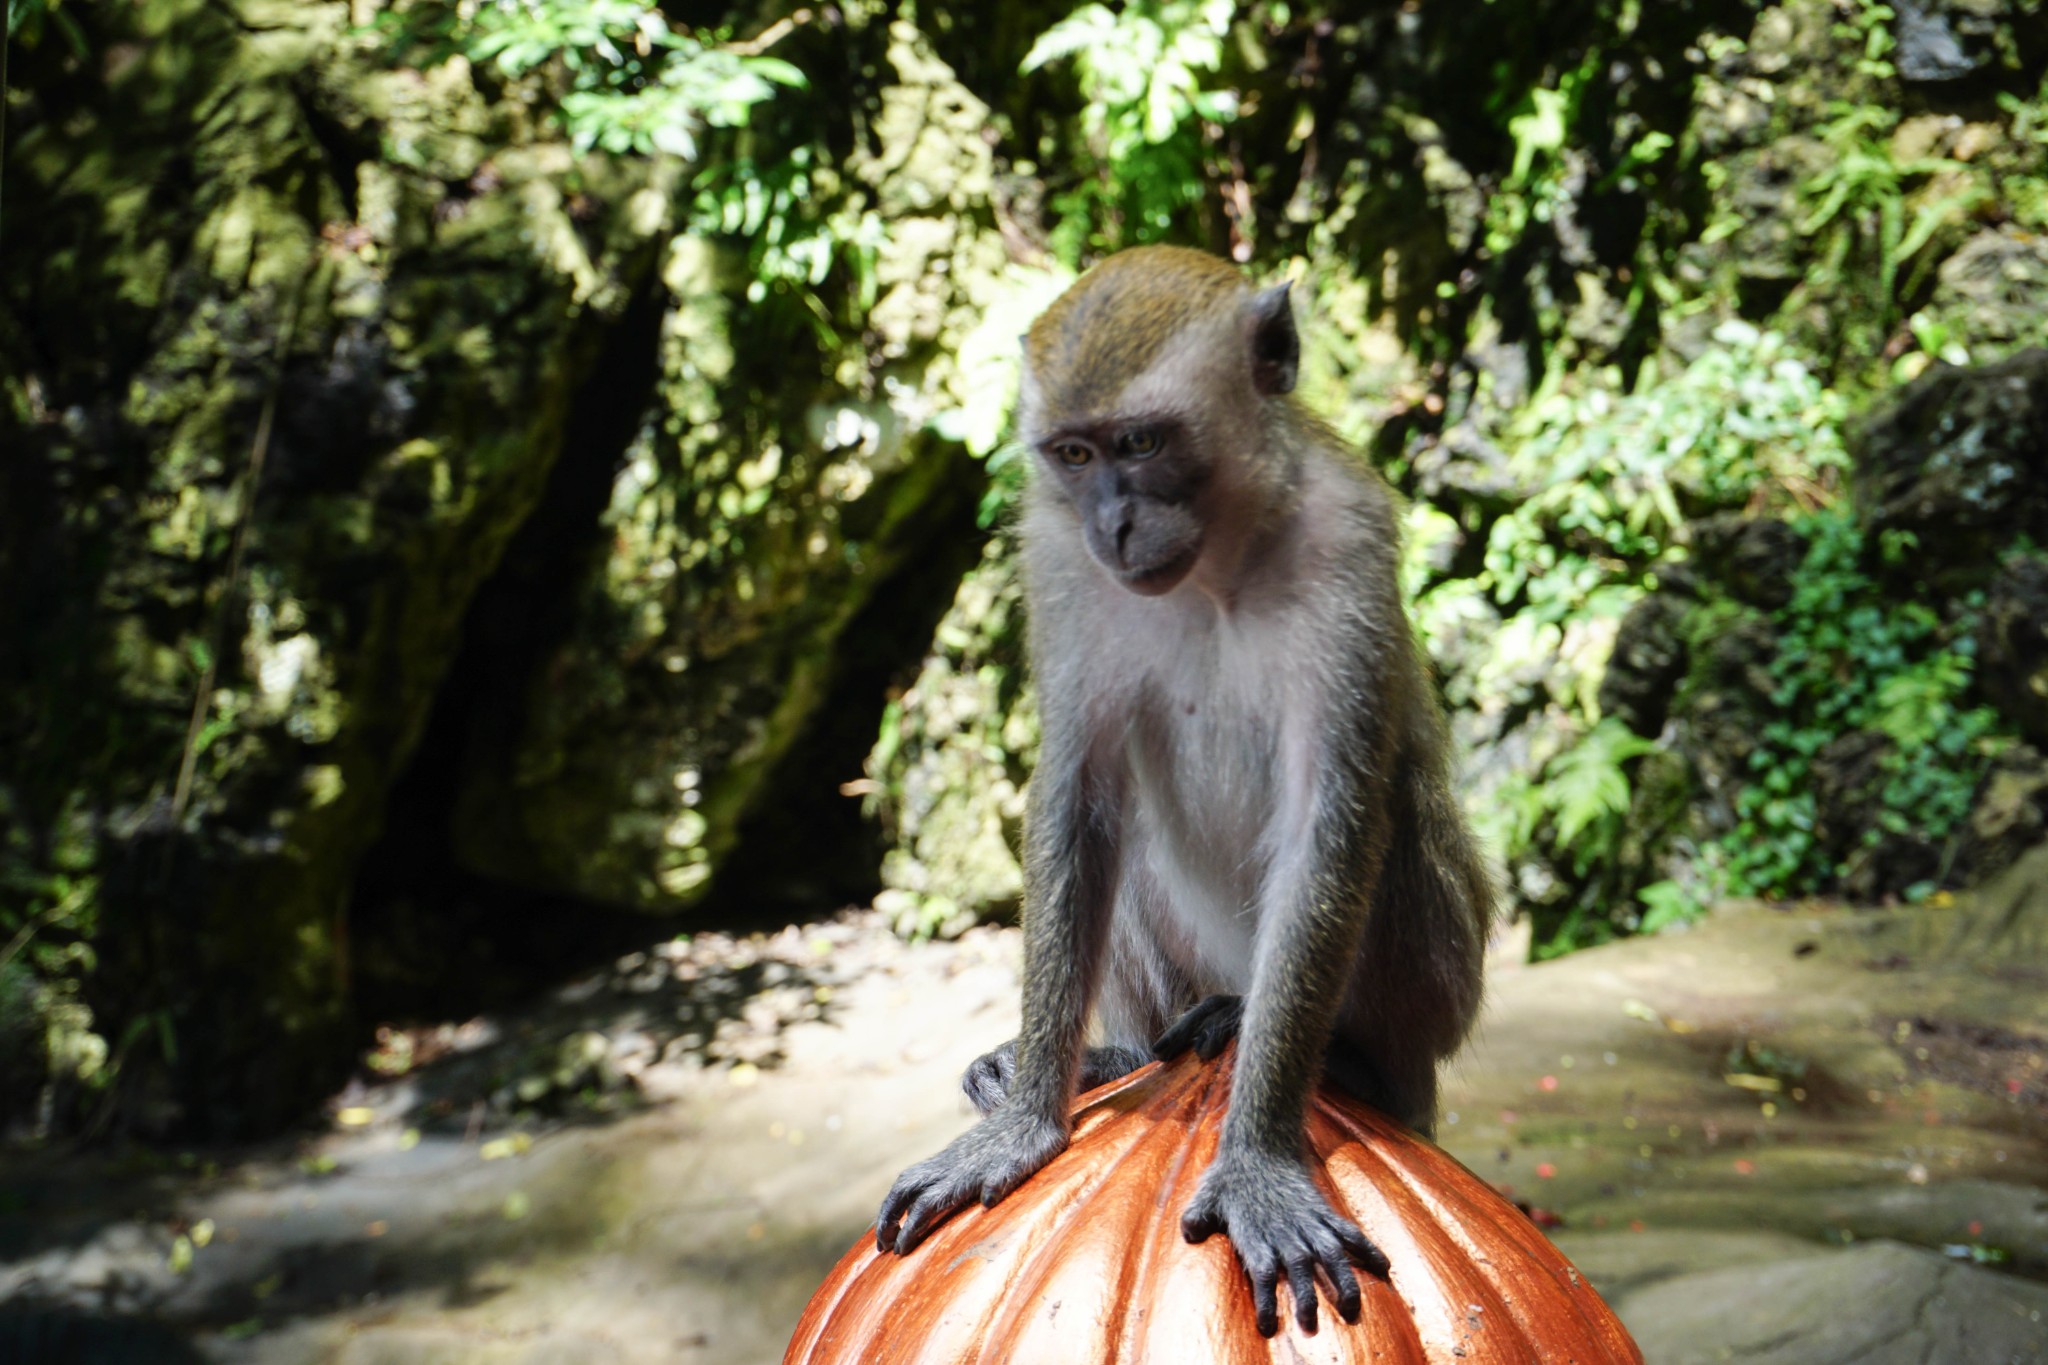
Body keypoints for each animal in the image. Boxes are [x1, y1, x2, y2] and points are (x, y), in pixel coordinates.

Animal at [868, 242, 1490, 1334]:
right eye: (1075, 456)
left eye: (1145, 442)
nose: (1114, 525)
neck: (1218, 561)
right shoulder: (1057, 559)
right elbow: (1078, 801)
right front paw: (1025, 1121)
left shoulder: (1348, 540)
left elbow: (1329, 822)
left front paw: (1255, 1163)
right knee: (1128, 836)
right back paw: (1118, 1055)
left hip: (1444, 988)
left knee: (1394, 821)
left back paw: (1327, 1053)